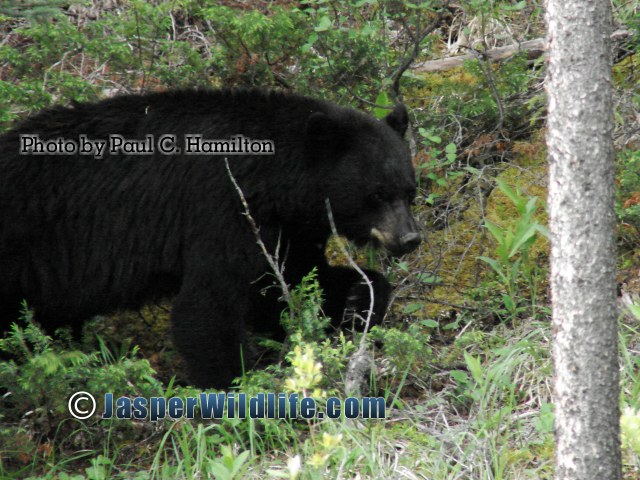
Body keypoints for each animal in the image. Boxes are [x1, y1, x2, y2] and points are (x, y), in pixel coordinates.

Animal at [0, 90, 422, 388]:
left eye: (409, 190)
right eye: (377, 194)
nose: (410, 238)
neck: (273, 178)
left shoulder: (286, 228)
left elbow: (291, 282)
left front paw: (359, 299)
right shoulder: (224, 210)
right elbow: (207, 306)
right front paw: (236, 386)